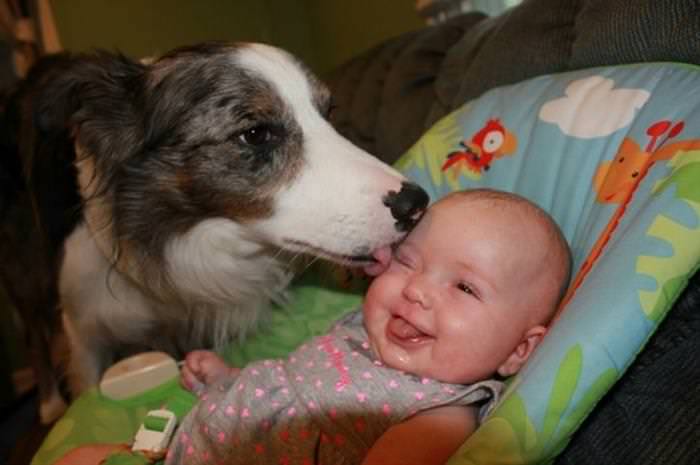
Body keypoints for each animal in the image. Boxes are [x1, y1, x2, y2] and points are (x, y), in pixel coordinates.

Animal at [0, 43, 430, 424]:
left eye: (329, 112)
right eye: (256, 134)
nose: (416, 203)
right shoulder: (83, 329)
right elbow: (89, 390)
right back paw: (50, 405)